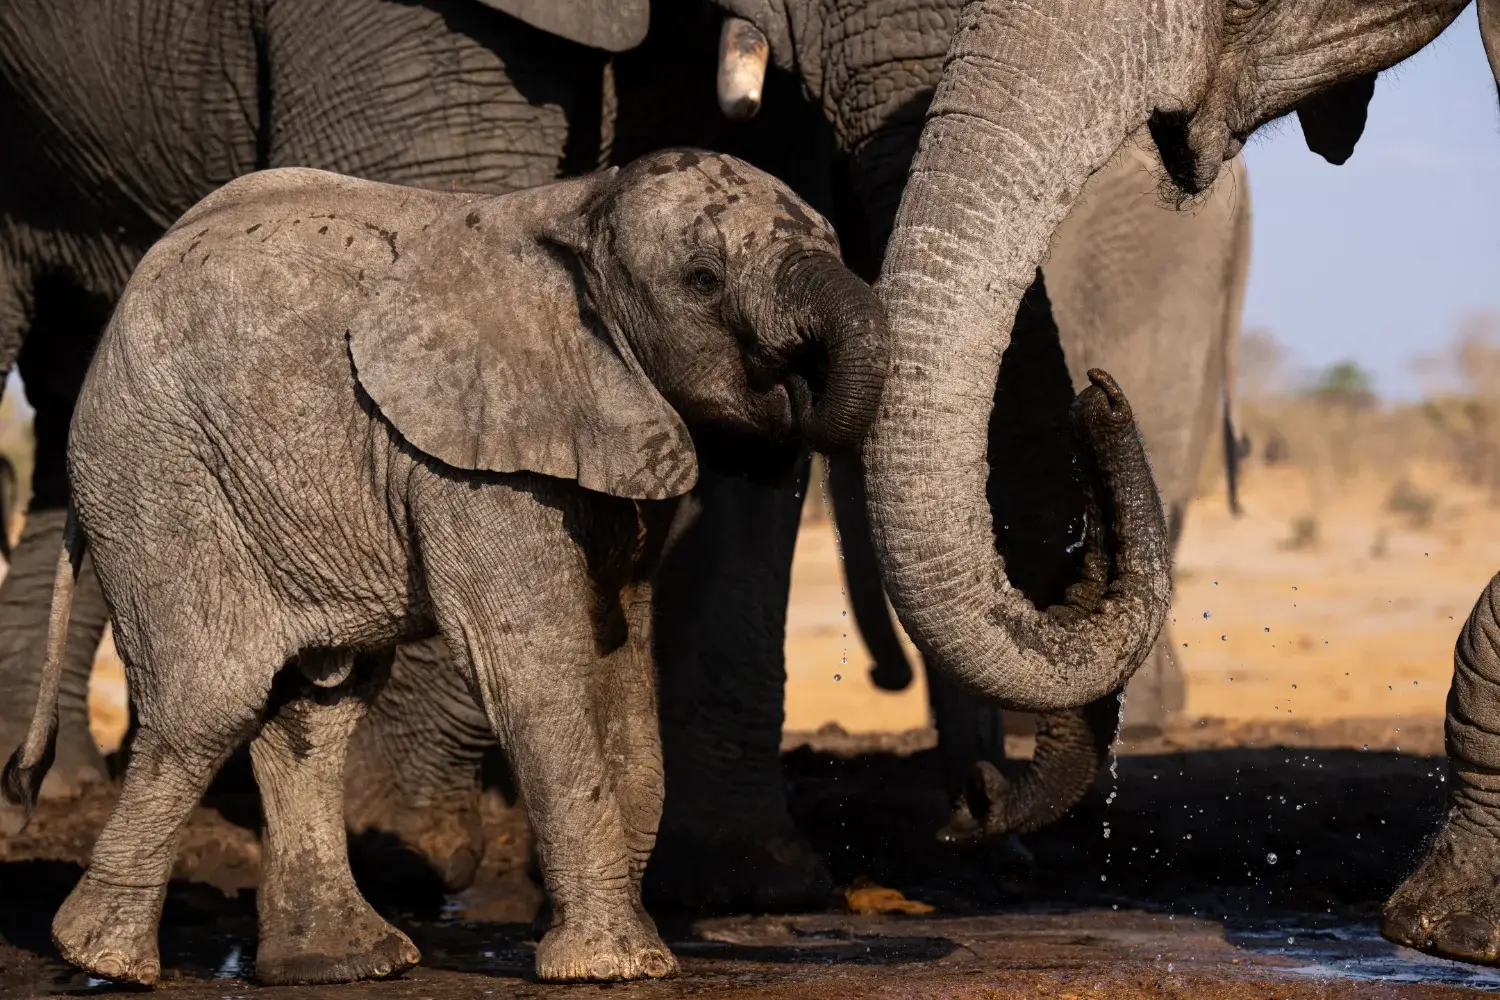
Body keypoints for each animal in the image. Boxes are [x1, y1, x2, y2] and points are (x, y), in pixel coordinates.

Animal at [1, 151, 899, 986]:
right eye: (703, 281)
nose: (795, 396)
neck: (582, 206)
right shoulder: (469, 458)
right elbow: (530, 666)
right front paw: (615, 968)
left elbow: (622, 669)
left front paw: (627, 951)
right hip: (157, 469)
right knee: (210, 701)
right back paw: (101, 959)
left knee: (313, 712)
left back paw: (341, 963)